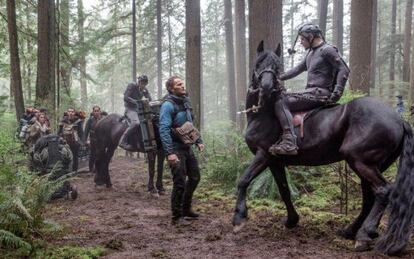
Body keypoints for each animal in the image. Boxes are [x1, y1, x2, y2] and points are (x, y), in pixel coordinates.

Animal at [233, 41, 414, 256]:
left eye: (277, 66)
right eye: (259, 63)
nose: (268, 87)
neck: (262, 113)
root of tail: (398, 119)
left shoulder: (263, 155)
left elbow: (243, 180)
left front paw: (239, 218)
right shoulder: (275, 161)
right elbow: (284, 190)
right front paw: (292, 220)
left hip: (361, 161)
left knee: (383, 191)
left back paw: (363, 234)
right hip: (372, 165)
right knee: (370, 196)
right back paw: (353, 231)